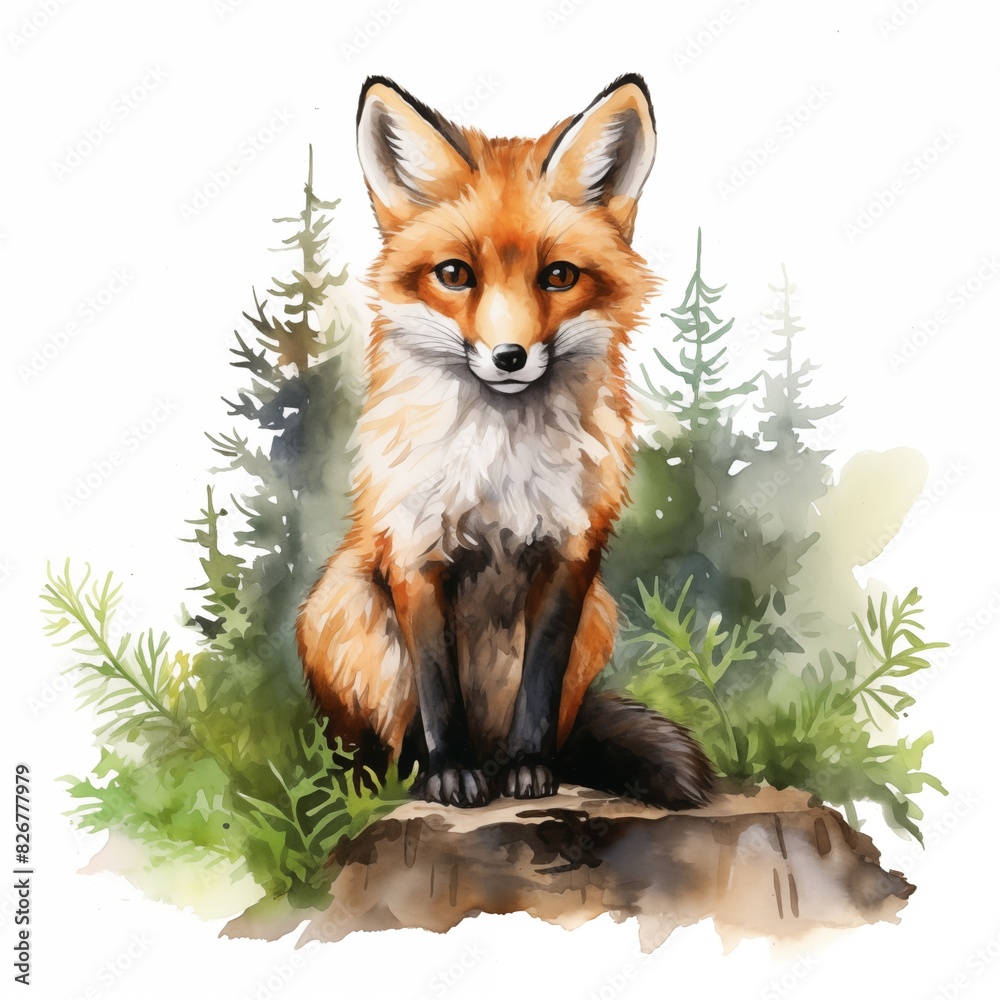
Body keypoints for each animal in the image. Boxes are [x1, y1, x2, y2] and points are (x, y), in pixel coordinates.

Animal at [296, 73, 715, 809]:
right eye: (454, 274)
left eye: (559, 276)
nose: (510, 357)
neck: (500, 469)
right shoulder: (415, 551)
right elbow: (437, 687)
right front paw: (449, 774)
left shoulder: (571, 555)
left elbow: (539, 683)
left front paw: (530, 769)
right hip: (347, 603)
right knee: (379, 747)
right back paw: (395, 779)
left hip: (600, 616)